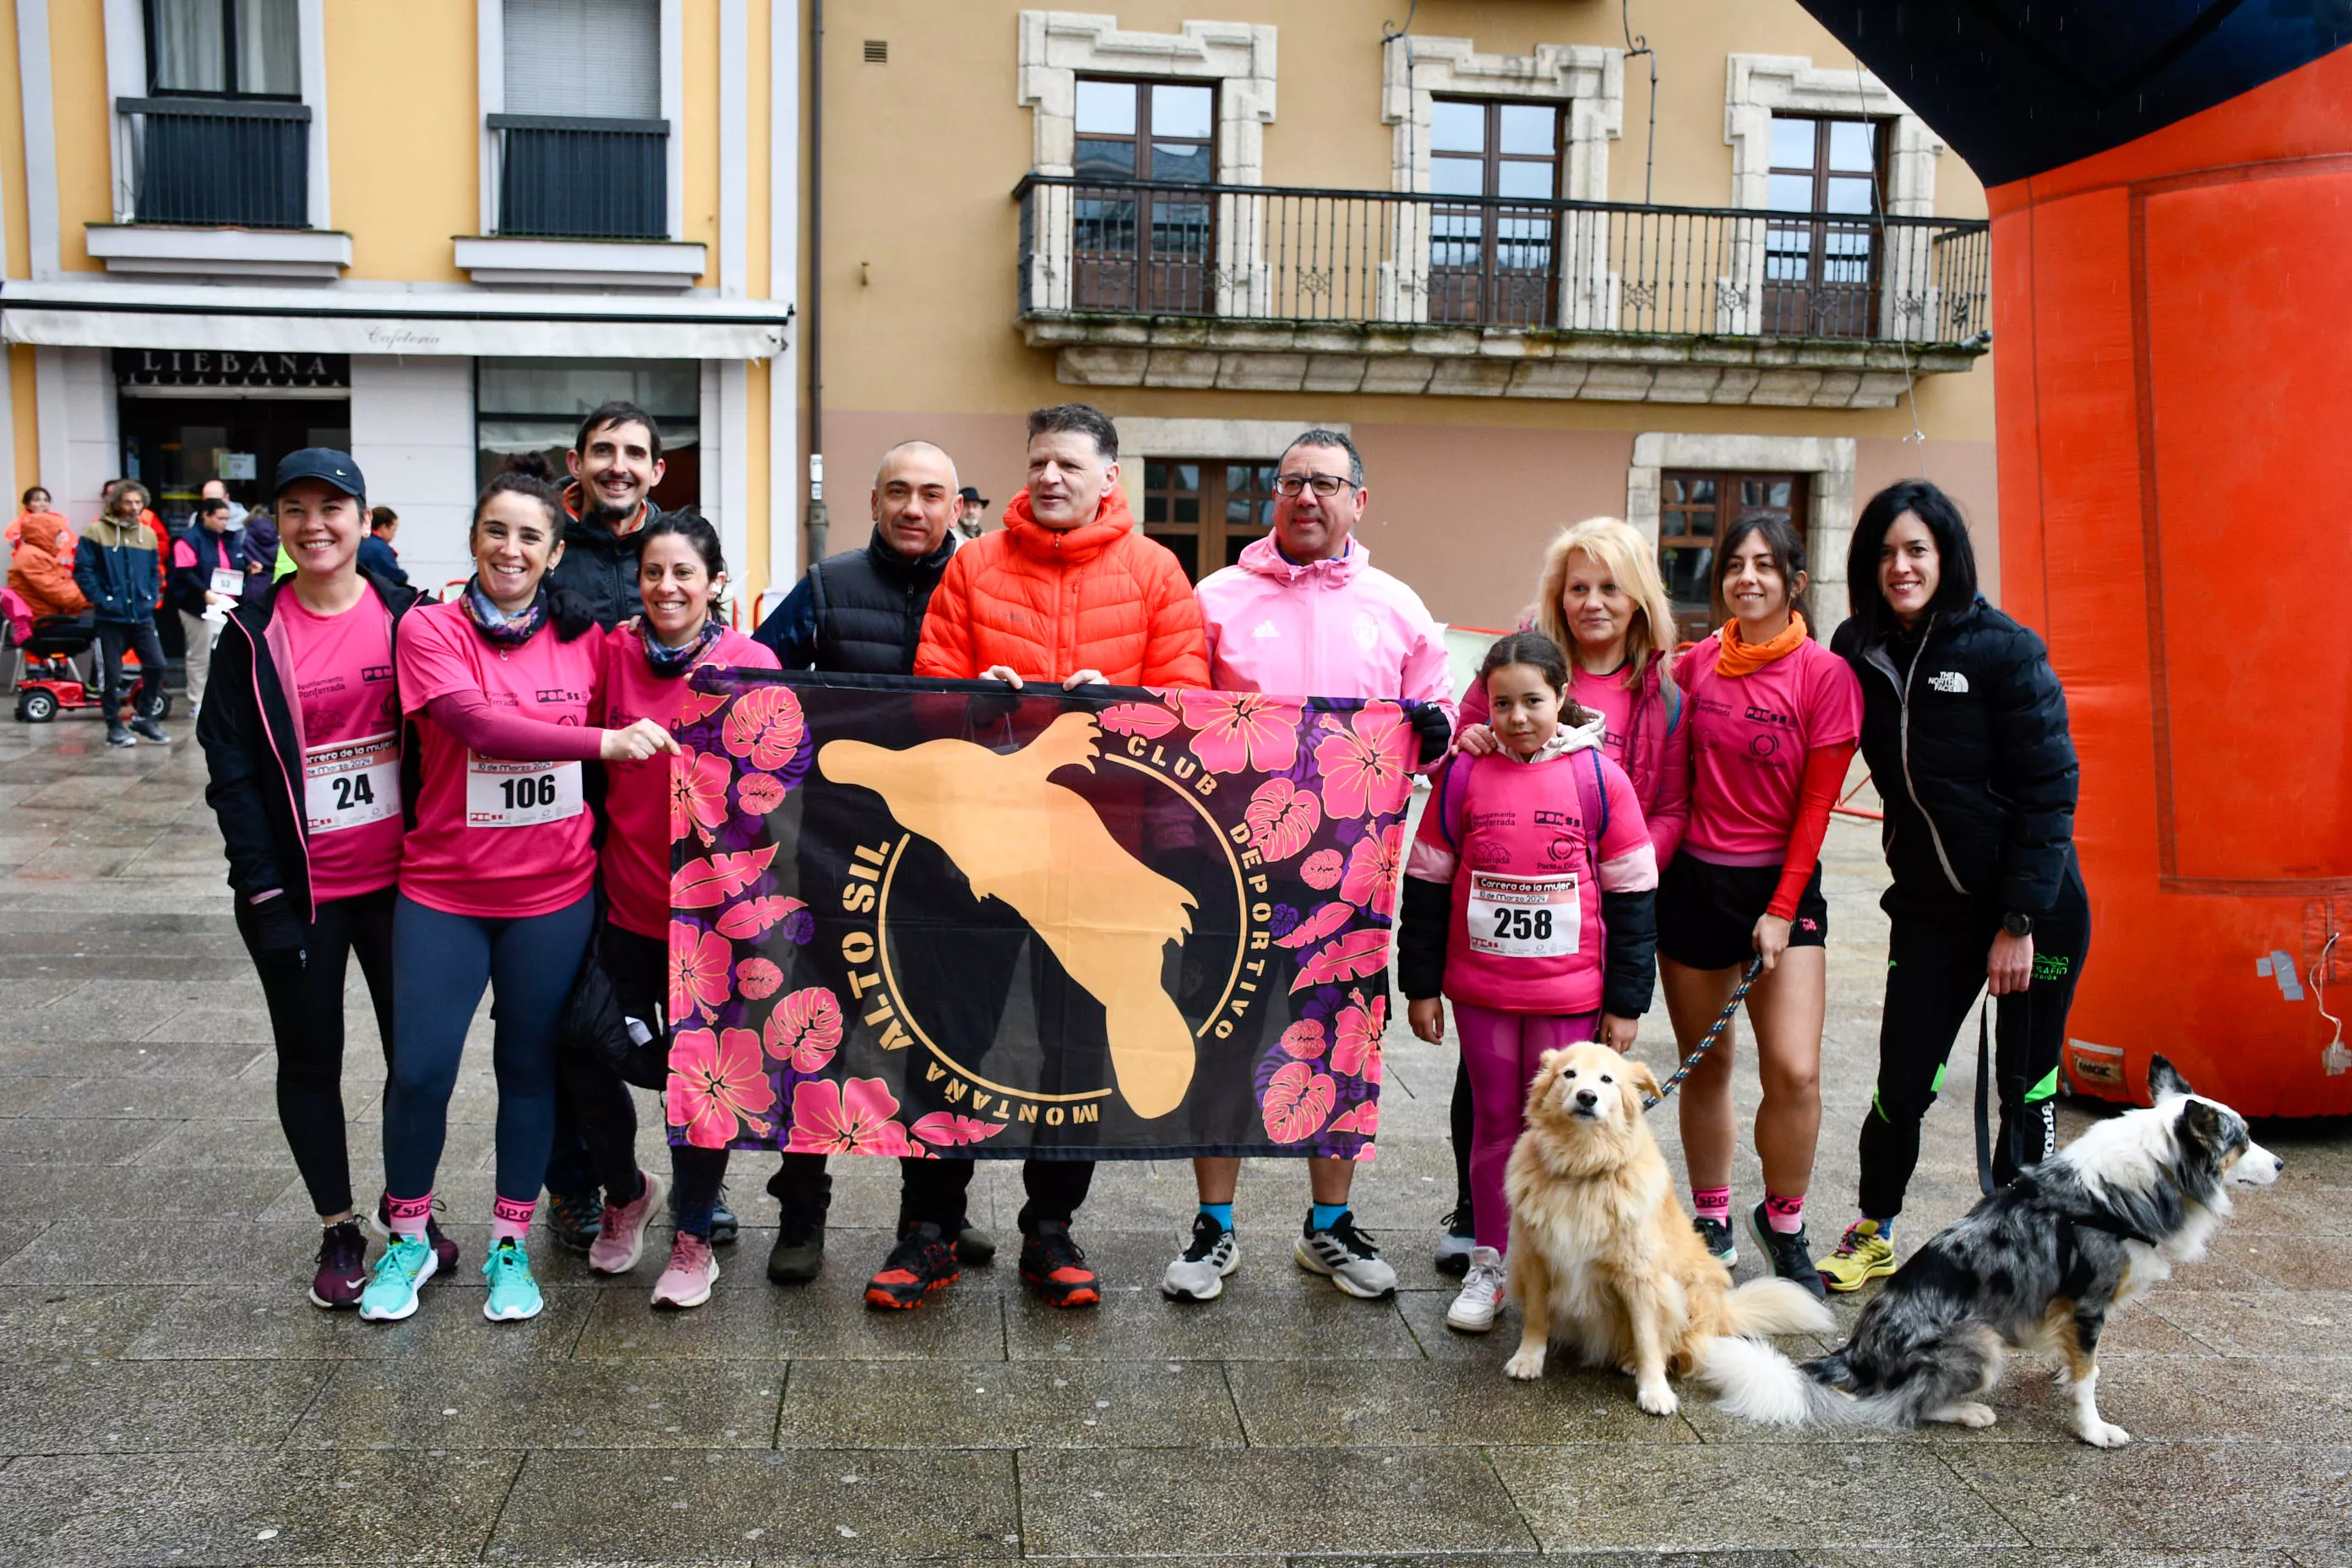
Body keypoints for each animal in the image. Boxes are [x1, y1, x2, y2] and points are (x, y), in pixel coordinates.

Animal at [1505, 1043, 1834, 1410]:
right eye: (1569, 1074)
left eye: (1607, 1080)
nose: (1586, 1097)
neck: (1583, 1168)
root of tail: (1723, 1312)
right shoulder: (1535, 1260)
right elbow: (1536, 1317)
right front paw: (1527, 1360)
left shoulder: (1641, 1278)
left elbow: (1648, 1339)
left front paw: (1654, 1391)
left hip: (1691, 1289)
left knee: (1681, 1349)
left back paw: (1635, 1361)